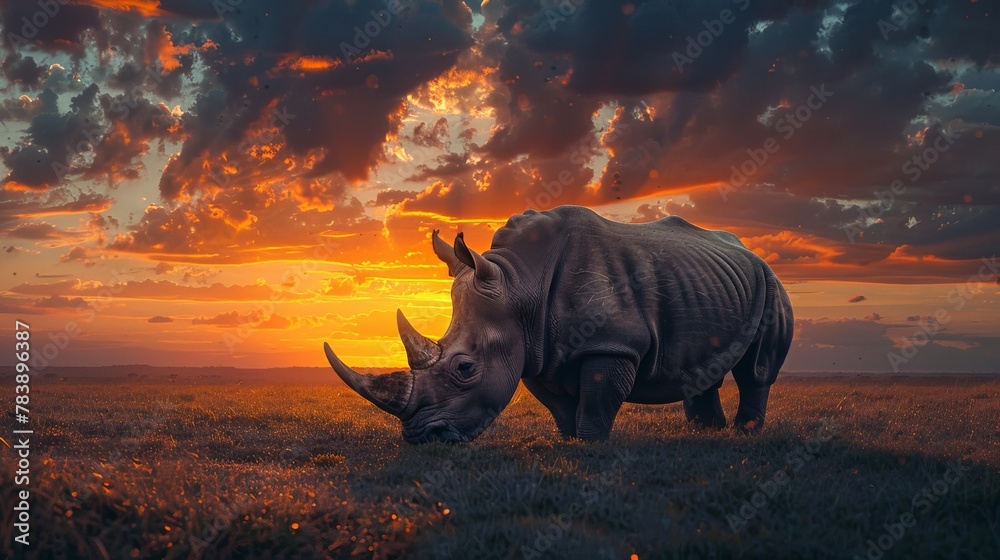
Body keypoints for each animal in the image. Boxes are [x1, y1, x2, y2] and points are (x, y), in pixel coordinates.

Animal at [323, 205, 794, 443]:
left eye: (465, 369)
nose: (423, 437)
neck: (518, 284)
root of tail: (750, 251)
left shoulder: (612, 342)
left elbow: (598, 398)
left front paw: (589, 446)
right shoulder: (535, 348)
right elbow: (558, 403)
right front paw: (568, 442)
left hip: (770, 281)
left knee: (757, 368)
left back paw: (745, 435)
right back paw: (706, 434)